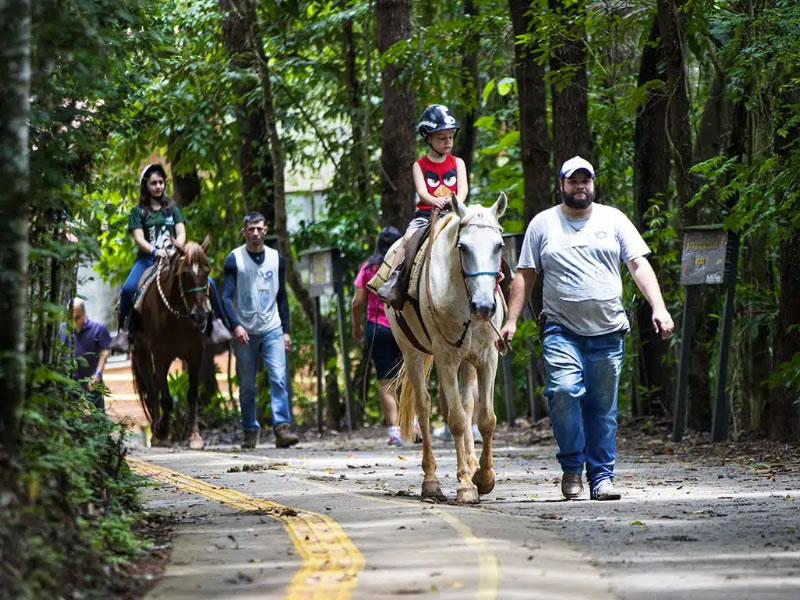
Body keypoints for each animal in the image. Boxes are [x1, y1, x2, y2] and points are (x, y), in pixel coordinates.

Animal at [134, 237, 216, 448]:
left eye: (207, 270)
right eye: (184, 273)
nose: (200, 315)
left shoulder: (196, 353)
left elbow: (193, 394)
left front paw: (194, 437)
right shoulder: (160, 355)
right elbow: (166, 398)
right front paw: (162, 431)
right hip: (141, 352)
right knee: (151, 386)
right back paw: (156, 431)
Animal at [388, 195, 506, 504]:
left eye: (499, 246)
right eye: (462, 247)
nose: (484, 306)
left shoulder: (488, 358)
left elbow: (485, 419)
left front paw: (483, 478)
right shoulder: (446, 357)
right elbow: (455, 420)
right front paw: (465, 485)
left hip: (468, 361)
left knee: (467, 408)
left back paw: (472, 466)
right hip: (412, 352)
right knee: (424, 407)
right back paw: (431, 483)